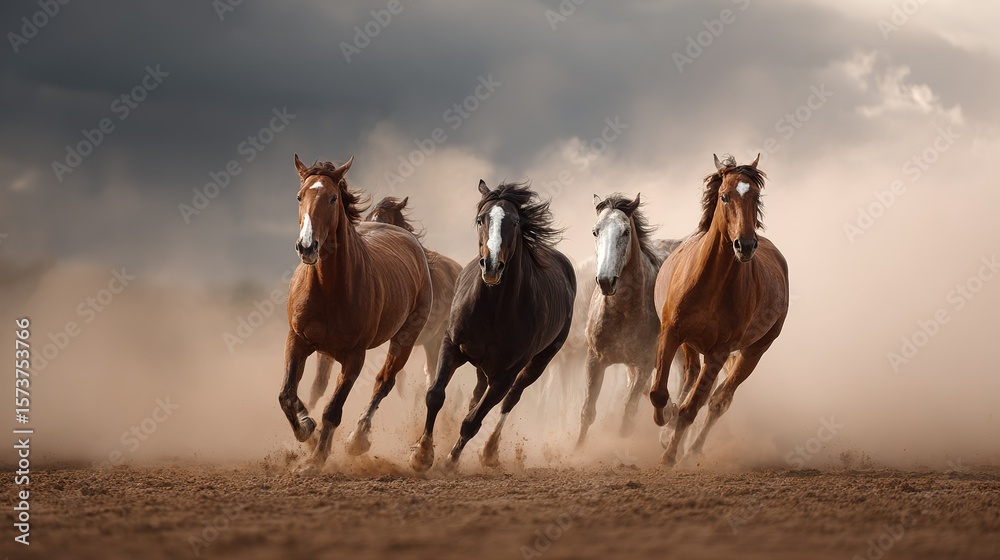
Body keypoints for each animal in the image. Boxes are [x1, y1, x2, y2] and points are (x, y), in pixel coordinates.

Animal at [278, 155, 433, 467]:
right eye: (299, 196)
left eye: (332, 198)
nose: (307, 246)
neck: (328, 289)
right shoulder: (296, 340)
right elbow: (287, 394)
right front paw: (306, 428)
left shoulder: (354, 357)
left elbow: (333, 410)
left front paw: (316, 460)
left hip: (405, 338)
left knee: (383, 382)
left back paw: (357, 439)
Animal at [409, 180, 576, 472]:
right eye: (480, 219)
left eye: (514, 222)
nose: (492, 266)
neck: (493, 309)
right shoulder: (452, 345)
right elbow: (435, 395)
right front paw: (421, 454)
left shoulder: (505, 374)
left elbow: (473, 421)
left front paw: (450, 461)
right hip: (481, 365)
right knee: (475, 396)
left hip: (539, 362)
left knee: (510, 399)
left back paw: (489, 451)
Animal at [575, 193, 682, 447]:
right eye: (595, 231)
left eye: (625, 231)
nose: (606, 281)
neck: (622, 312)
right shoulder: (595, 360)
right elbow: (588, 412)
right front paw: (577, 450)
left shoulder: (644, 363)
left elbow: (627, 418)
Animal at [650, 154, 789, 466]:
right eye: (724, 196)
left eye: (756, 196)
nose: (745, 245)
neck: (712, 283)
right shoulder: (671, 333)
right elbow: (659, 393)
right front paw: (665, 422)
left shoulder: (721, 350)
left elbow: (693, 408)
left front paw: (670, 455)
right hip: (690, 345)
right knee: (691, 377)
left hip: (754, 351)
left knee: (718, 401)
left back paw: (692, 449)